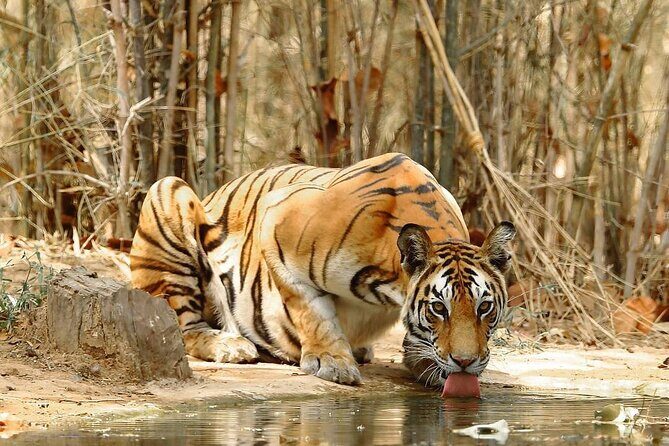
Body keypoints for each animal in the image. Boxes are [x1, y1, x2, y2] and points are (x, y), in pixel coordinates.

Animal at [130, 153, 515, 386]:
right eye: (438, 308)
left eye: (484, 307)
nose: (465, 362)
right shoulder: (275, 222)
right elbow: (311, 309)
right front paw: (333, 363)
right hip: (168, 193)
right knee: (181, 327)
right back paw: (231, 345)